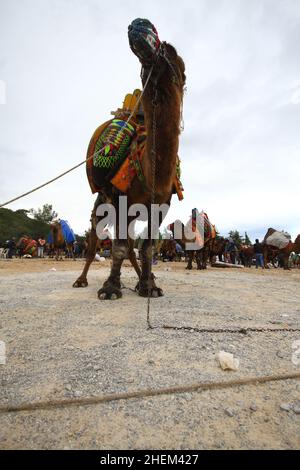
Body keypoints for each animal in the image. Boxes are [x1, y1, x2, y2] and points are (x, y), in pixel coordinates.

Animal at [72, 18, 185, 300]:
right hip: (102, 205)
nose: (139, 24)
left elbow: (146, 248)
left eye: (170, 51)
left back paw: (143, 278)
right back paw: (81, 280)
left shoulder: (161, 205)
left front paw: (149, 286)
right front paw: (111, 288)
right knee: (94, 243)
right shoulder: (119, 199)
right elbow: (119, 248)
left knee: (131, 245)